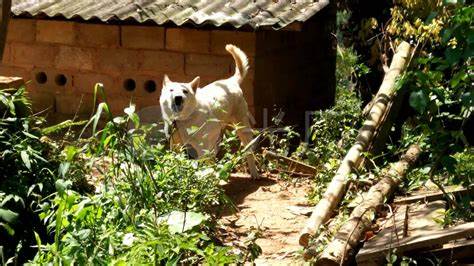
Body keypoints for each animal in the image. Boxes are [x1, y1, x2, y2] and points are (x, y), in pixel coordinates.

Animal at [160, 44, 260, 179]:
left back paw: (254, 173)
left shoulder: (202, 149)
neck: (183, 119)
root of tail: (231, 81)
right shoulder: (175, 146)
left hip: (242, 130)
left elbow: (202, 166)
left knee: (249, 152)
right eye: (171, 90)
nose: (178, 97)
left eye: (185, 91)